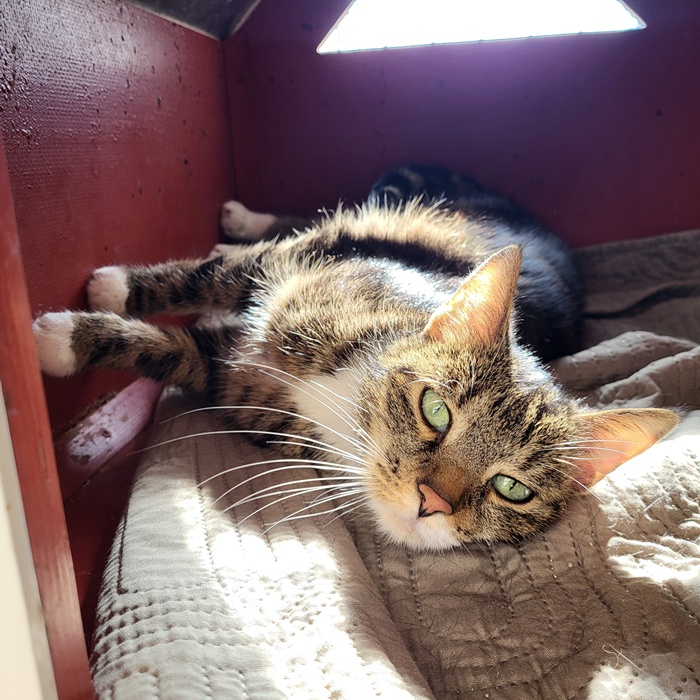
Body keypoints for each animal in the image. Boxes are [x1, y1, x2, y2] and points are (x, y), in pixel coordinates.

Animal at [33, 166, 677, 550]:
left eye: (511, 489)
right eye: (435, 409)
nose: (432, 501)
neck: (348, 402)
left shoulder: (236, 385)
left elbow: (178, 353)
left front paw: (77, 335)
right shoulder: (308, 268)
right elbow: (212, 277)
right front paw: (88, 313)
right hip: (380, 226)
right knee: (314, 222)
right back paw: (236, 222)